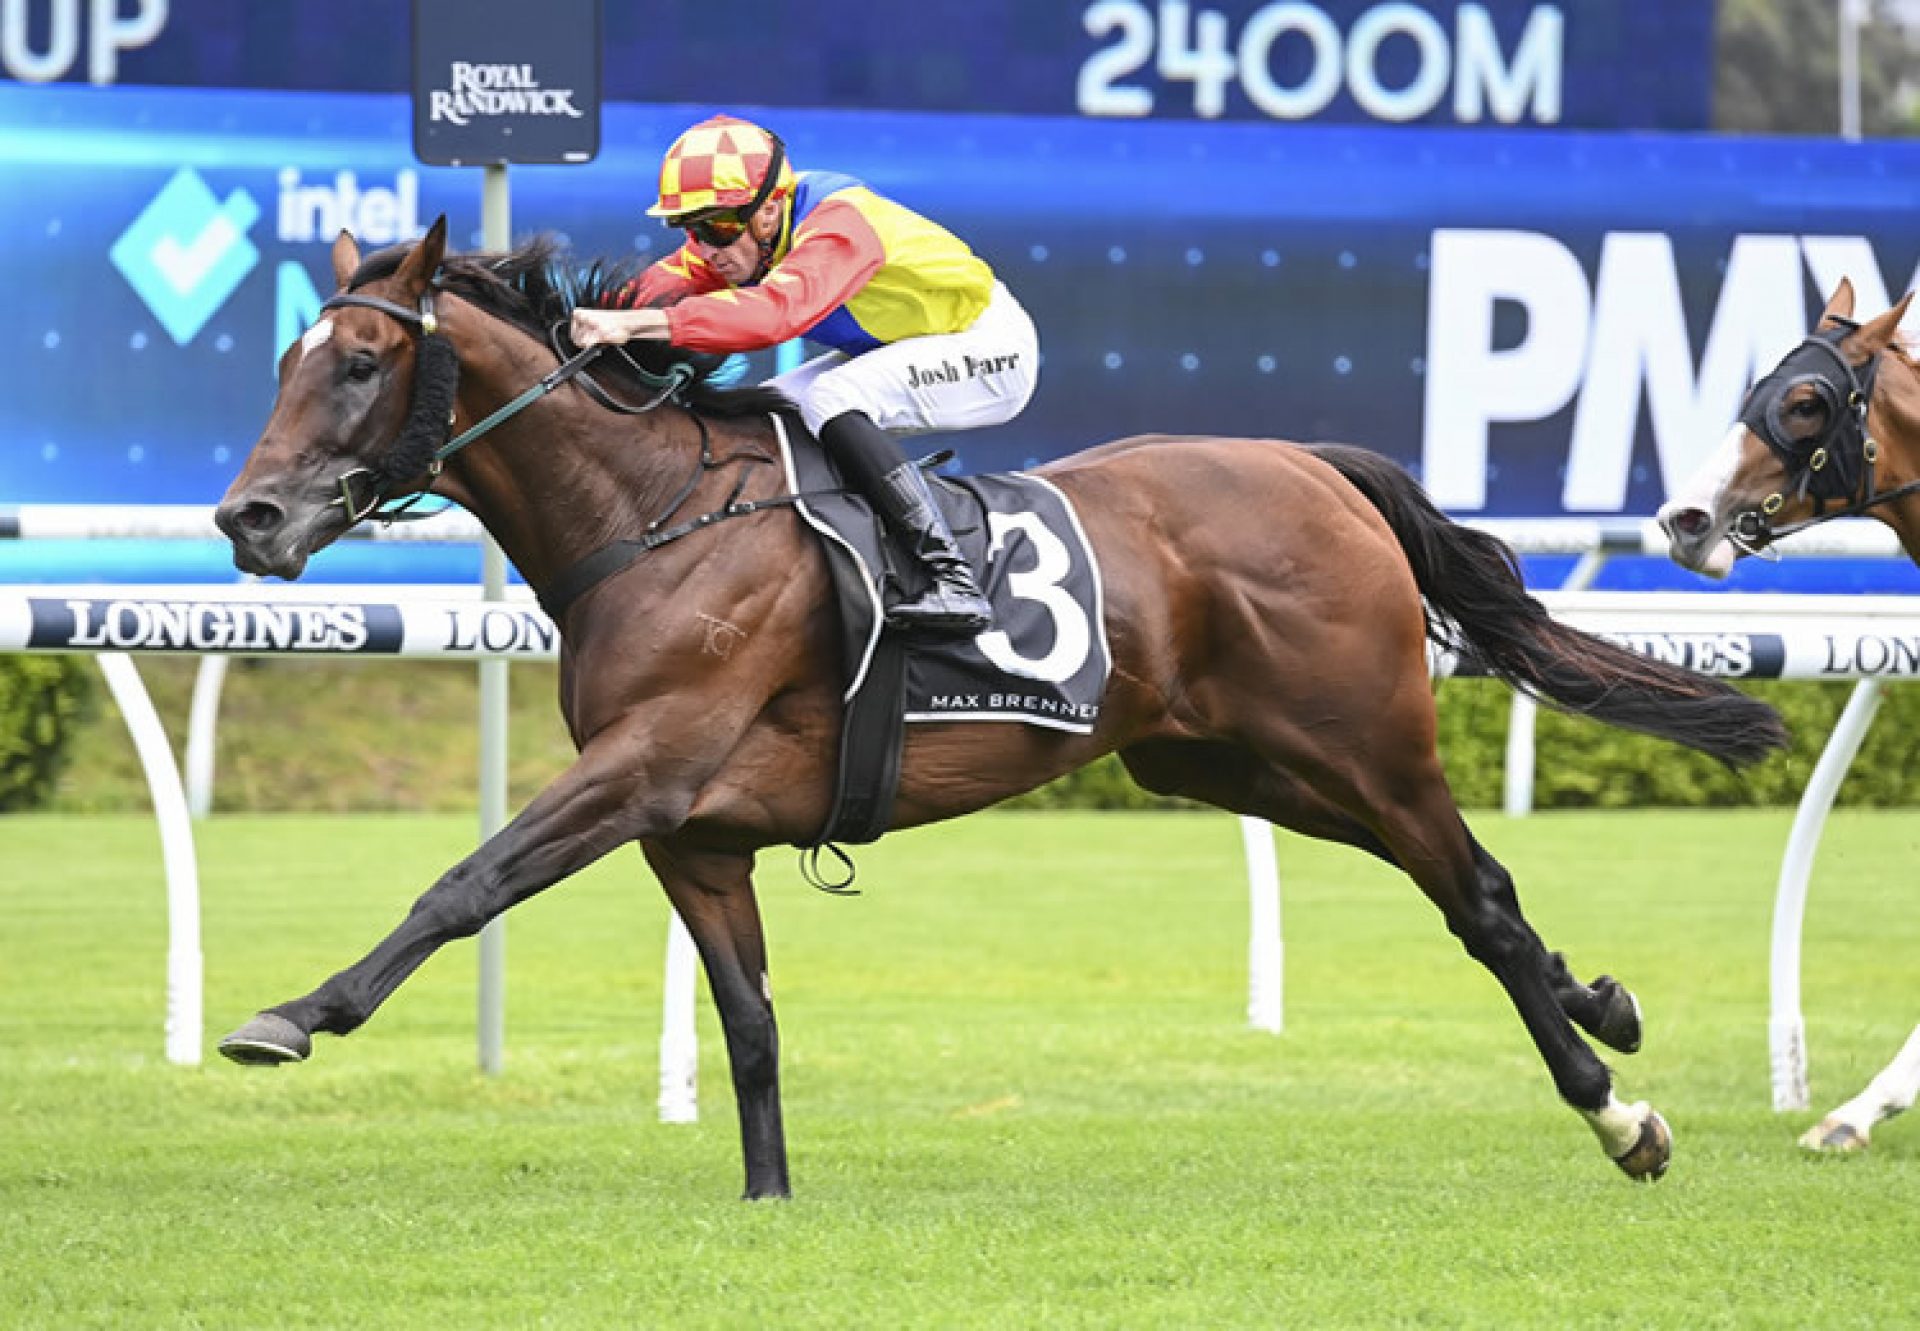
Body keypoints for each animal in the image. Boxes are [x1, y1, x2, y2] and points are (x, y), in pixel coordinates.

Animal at [214, 220, 1781, 1190]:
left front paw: (292, 1013)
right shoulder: (692, 831)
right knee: (1465, 889)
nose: (249, 515)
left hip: (1366, 741)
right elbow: (751, 1020)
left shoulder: (644, 765)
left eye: (362, 361)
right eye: (283, 359)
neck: (651, 517)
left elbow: (464, 882)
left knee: (1482, 901)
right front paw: (769, 1199)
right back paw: (1606, 1004)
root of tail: (1313, 463)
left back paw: (1618, 1110)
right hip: (1230, 765)